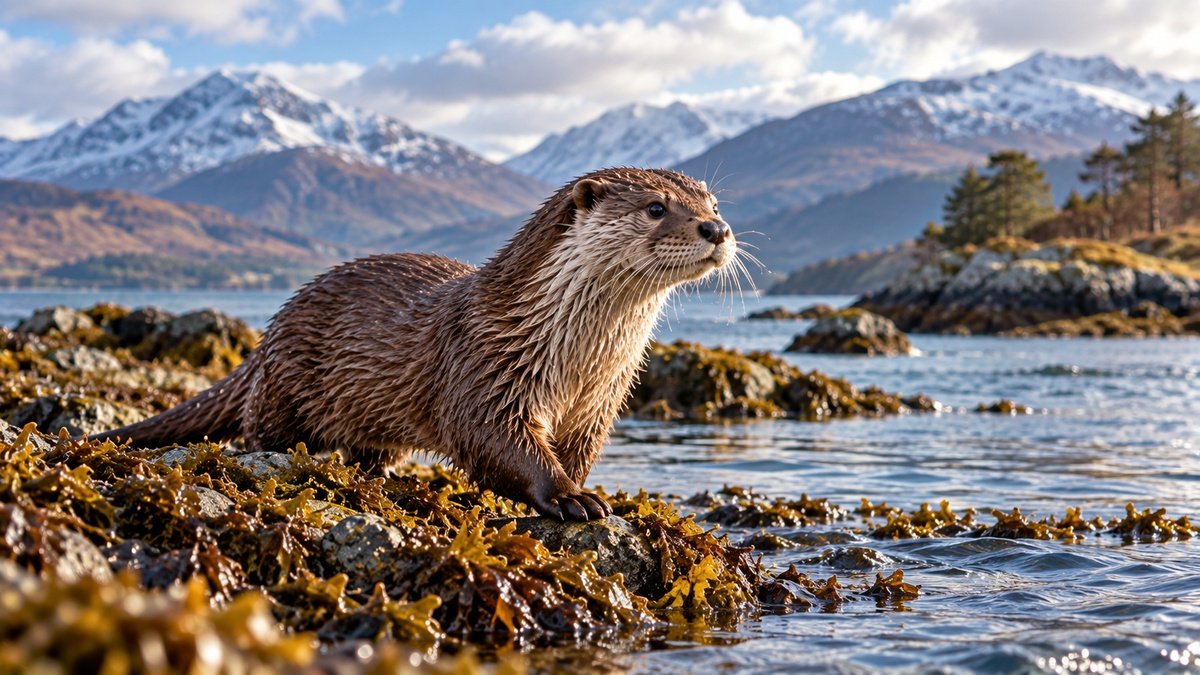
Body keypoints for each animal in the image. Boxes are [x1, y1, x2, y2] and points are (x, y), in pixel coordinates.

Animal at [90, 168, 736, 521]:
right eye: (655, 207)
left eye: (711, 203)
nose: (717, 228)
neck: (571, 356)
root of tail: (271, 330)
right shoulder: (482, 369)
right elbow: (494, 440)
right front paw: (570, 498)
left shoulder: (599, 403)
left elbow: (578, 451)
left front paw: (586, 490)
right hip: (284, 385)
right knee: (261, 432)